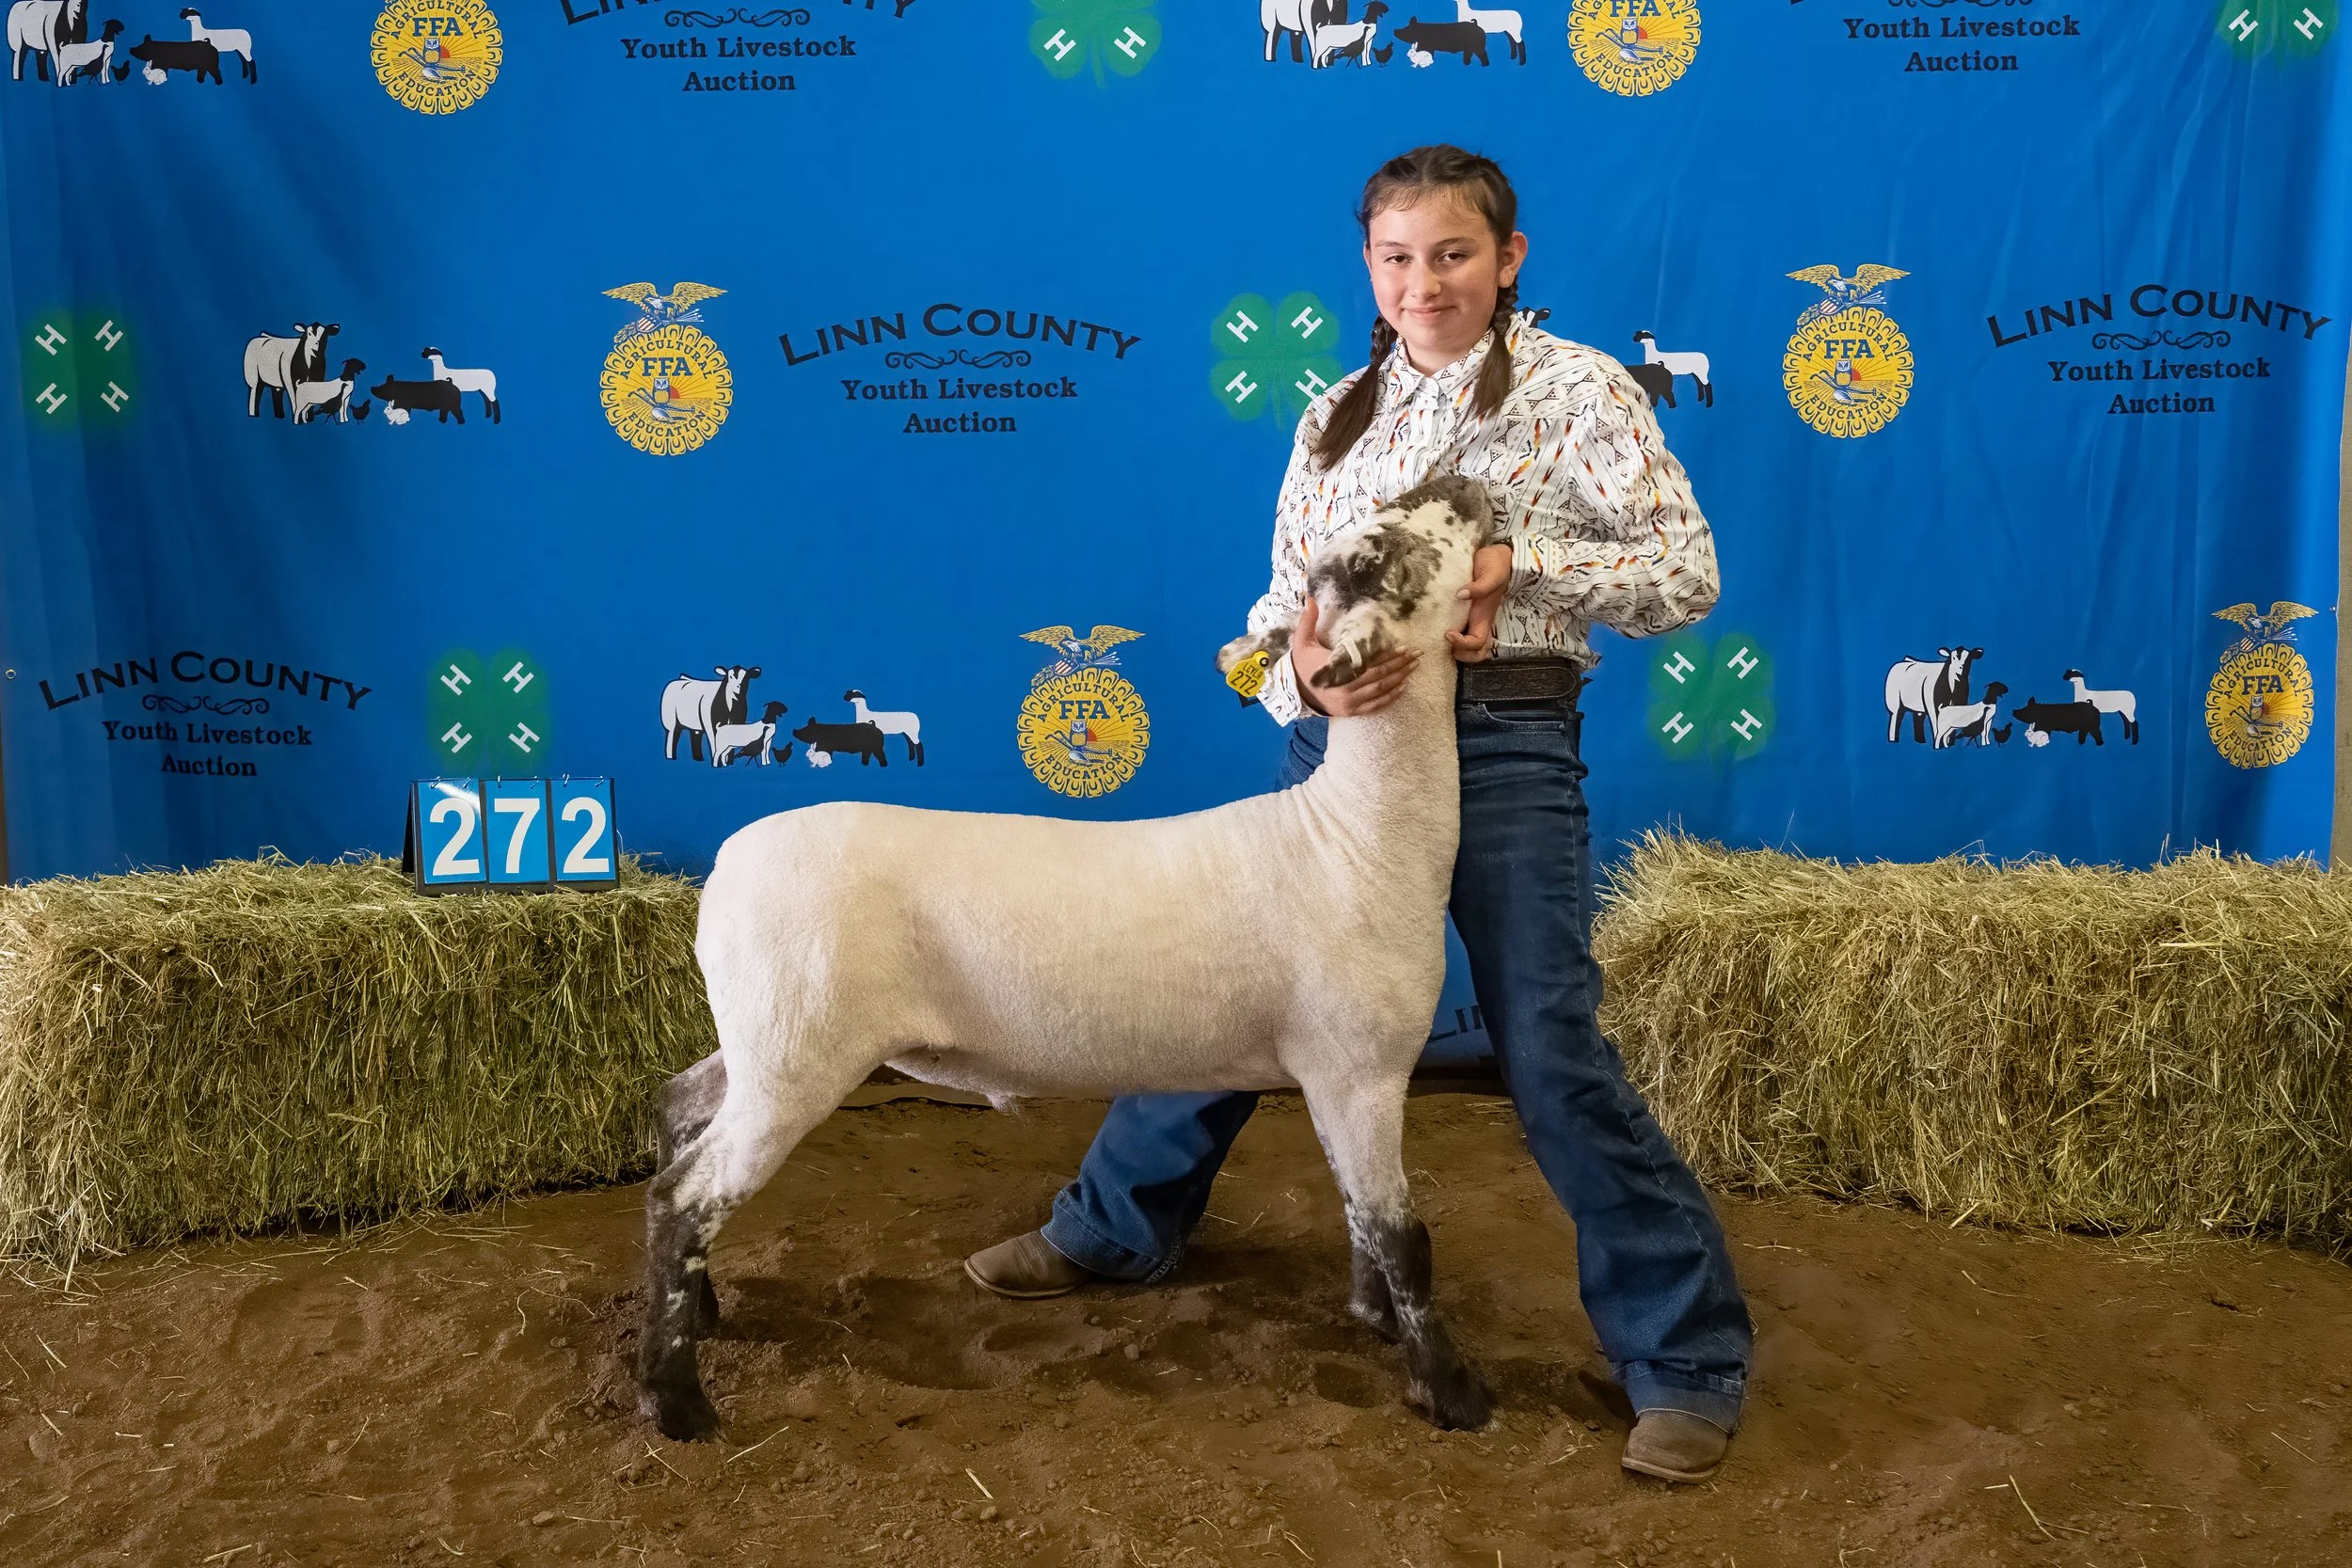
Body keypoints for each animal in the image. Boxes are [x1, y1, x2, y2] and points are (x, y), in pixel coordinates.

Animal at [636, 475, 1498, 1444]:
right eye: (1378, 551)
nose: (1463, 481)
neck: (1354, 835)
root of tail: (725, 868)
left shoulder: (1339, 1077)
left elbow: (1361, 1216)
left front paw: (1376, 1321)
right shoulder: (1360, 1069)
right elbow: (1404, 1236)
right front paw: (1452, 1391)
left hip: (766, 1038)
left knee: (678, 1107)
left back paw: (701, 1311)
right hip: (797, 1054)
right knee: (680, 1199)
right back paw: (675, 1398)